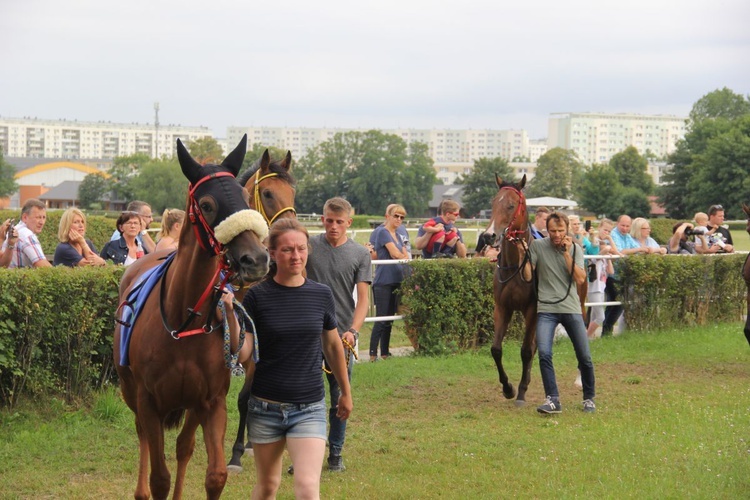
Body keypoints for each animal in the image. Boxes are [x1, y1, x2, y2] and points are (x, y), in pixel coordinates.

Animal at [114, 134, 270, 500]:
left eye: (245, 197)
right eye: (208, 205)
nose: (256, 259)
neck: (185, 318)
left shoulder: (210, 401)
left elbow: (214, 475)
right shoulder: (149, 401)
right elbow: (159, 477)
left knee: (184, 445)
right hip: (130, 391)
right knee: (142, 435)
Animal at [484, 176, 592, 406]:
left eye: (511, 205)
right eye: (493, 202)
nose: (488, 235)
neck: (516, 266)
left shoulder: (532, 309)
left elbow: (526, 351)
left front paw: (521, 392)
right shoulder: (502, 308)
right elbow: (496, 349)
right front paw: (508, 388)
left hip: (579, 305)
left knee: (581, 336)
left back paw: (580, 378)